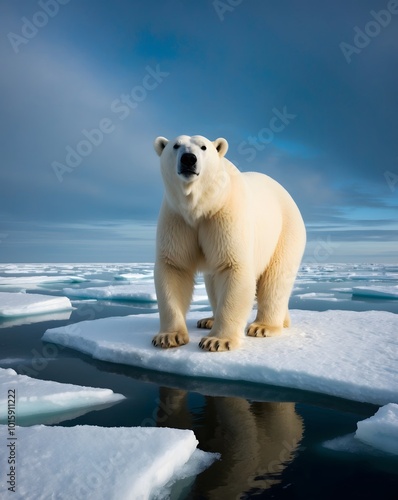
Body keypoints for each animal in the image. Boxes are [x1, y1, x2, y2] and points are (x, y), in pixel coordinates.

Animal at [152, 134, 304, 352]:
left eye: (203, 147)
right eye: (176, 145)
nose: (189, 159)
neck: (202, 206)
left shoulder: (225, 215)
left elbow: (233, 267)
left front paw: (217, 340)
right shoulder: (177, 218)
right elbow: (174, 267)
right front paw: (168, 337)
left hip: (285, 231)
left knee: (276, 279)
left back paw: (264, 326)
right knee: (212, 281)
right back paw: (208, 320)